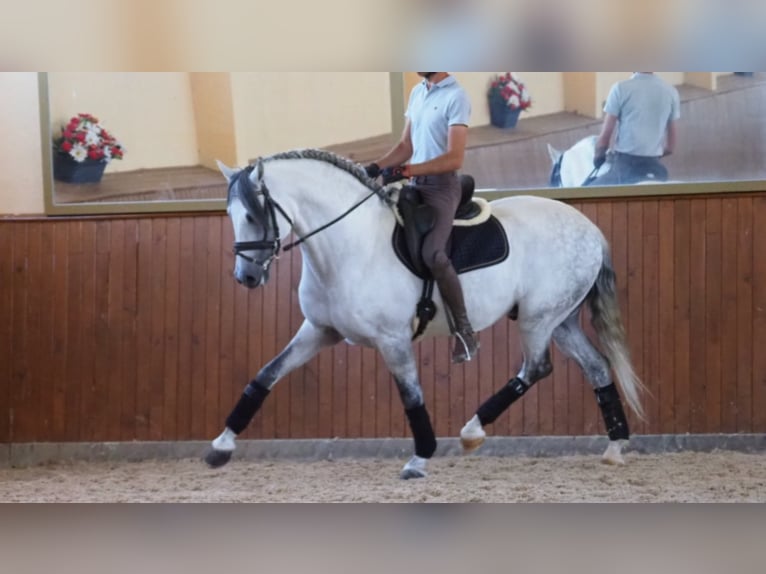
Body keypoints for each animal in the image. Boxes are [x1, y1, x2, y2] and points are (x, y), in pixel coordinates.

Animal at [206, 150, 648, 482]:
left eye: (253, 214)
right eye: (231, 214)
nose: (246, 277)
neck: (350, 245)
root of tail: (590, 228)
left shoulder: (393, 339)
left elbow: (412, 397)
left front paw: (420, 459)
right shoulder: (319, 331)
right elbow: (265, 376)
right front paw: (220, 446)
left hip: (538, 320)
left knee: (536, 368)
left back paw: (472, 431)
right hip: (561, 320)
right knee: (597, 367)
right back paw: (615, 446)